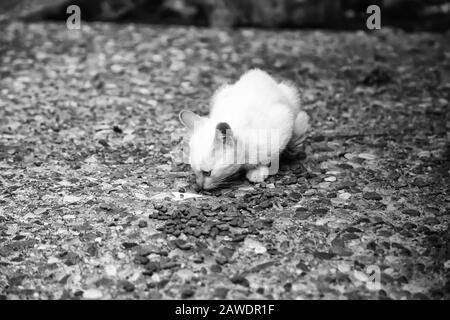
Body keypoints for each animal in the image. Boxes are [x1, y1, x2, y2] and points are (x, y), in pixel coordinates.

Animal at [179, 69, 310, 189]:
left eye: (207, 173)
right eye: (193, 170)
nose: (199, 187)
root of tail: (257, 72)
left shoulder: (282, 125)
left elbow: (267, 158)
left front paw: (258, 172)